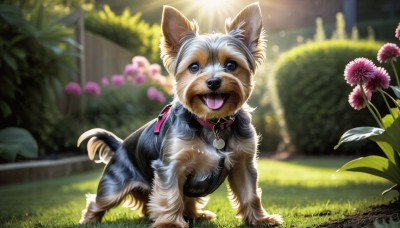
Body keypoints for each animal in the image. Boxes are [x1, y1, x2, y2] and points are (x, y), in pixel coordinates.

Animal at [78, 2, 282, 227]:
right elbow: (170, 194)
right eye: (194, 67)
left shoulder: (243, 162)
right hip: (115, 184)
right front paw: (170, 223)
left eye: (231, 65)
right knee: (99, 200)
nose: (213, 82)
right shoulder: (170, 165)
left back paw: (197, 214)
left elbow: (250, 193)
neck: (212, 124)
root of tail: (120, 145)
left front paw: (261, 219)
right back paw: (89, 219)